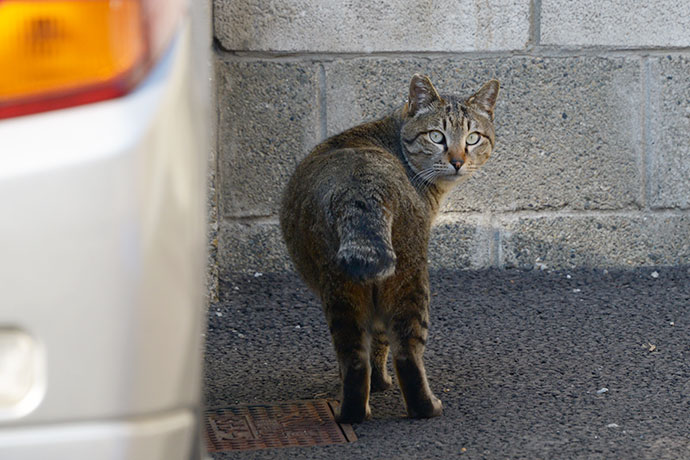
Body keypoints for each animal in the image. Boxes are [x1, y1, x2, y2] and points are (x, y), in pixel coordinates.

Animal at [276, 75, 498, 424]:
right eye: (437, 136)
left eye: (473, 138)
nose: (458, 161)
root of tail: (362, 189)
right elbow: (382, 344)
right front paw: (382, 383)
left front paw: (375, 384)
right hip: (409, 277)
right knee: (406, 353)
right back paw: (425, 407)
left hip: (345, 287)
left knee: (355, 358)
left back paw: (353, 412)